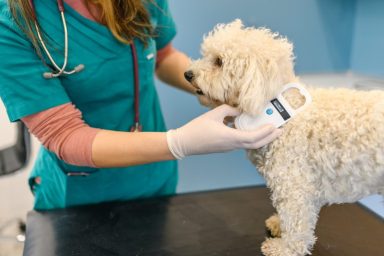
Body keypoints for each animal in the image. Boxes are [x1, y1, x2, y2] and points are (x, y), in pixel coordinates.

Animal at [184, 20, 382, 256]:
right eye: (205, 55)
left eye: (219, 62)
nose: (187, 74)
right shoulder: (307, 183)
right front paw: (279, 224)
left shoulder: (293, 182)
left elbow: (296, 220)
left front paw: (286, 248)